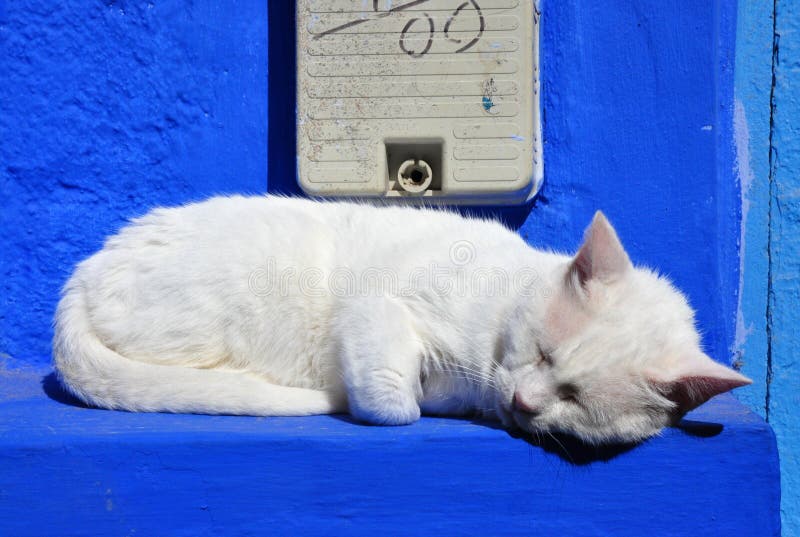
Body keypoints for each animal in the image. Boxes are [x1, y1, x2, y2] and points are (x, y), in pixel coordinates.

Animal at [51, 195, 752, 442]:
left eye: (575, 398)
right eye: (543, 352)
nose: (524, 402)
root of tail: (80, 278)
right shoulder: (377, 305)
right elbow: (393, 403)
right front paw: (392, 395)